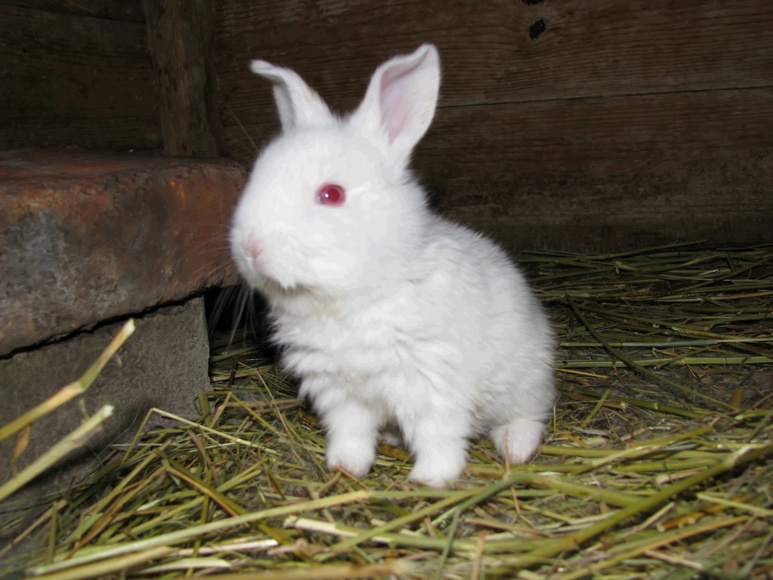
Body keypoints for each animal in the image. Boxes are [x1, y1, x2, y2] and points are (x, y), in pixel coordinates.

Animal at [230, 44, 556, 487]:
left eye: (331, 194)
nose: (251, 245)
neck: (352, 299)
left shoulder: (430, 384)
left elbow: (438, 437)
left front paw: (429, 480)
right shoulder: (340, 392)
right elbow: (351, 433)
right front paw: (344, 468)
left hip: (523, 381)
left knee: (528, 416)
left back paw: (515, 449)